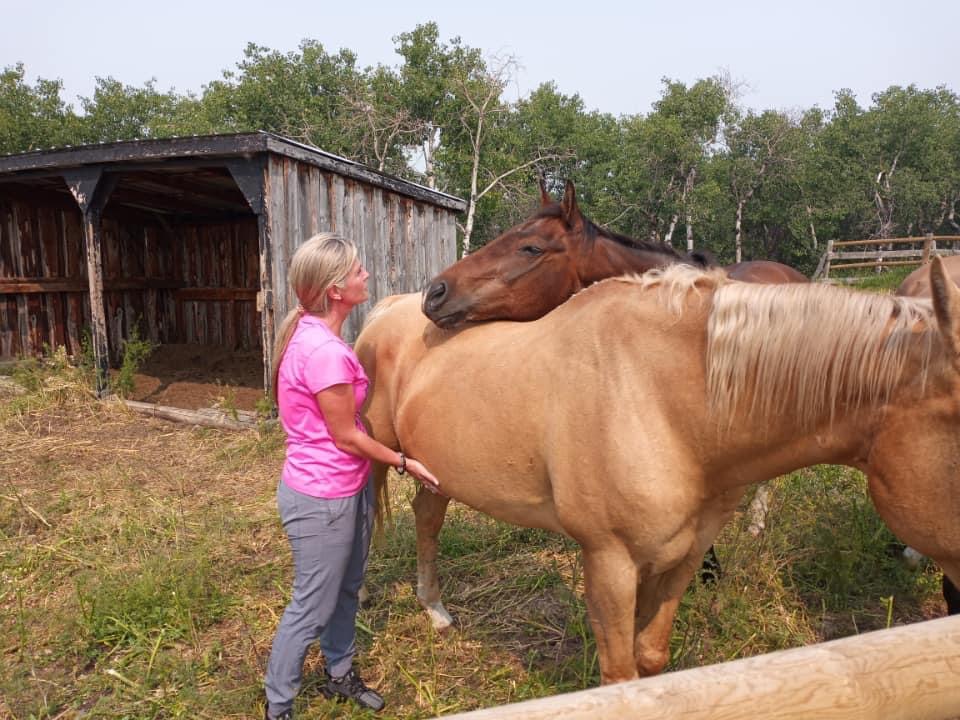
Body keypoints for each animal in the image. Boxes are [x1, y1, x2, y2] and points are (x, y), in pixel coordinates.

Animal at [362, 257, 960, 685]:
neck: (658, 395)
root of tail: (387, 309)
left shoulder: (681, 556)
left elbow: (650, 660)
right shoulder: (610, 560)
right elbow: (620, 676)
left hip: (435, 470)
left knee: (427, 519)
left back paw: (436, 609)